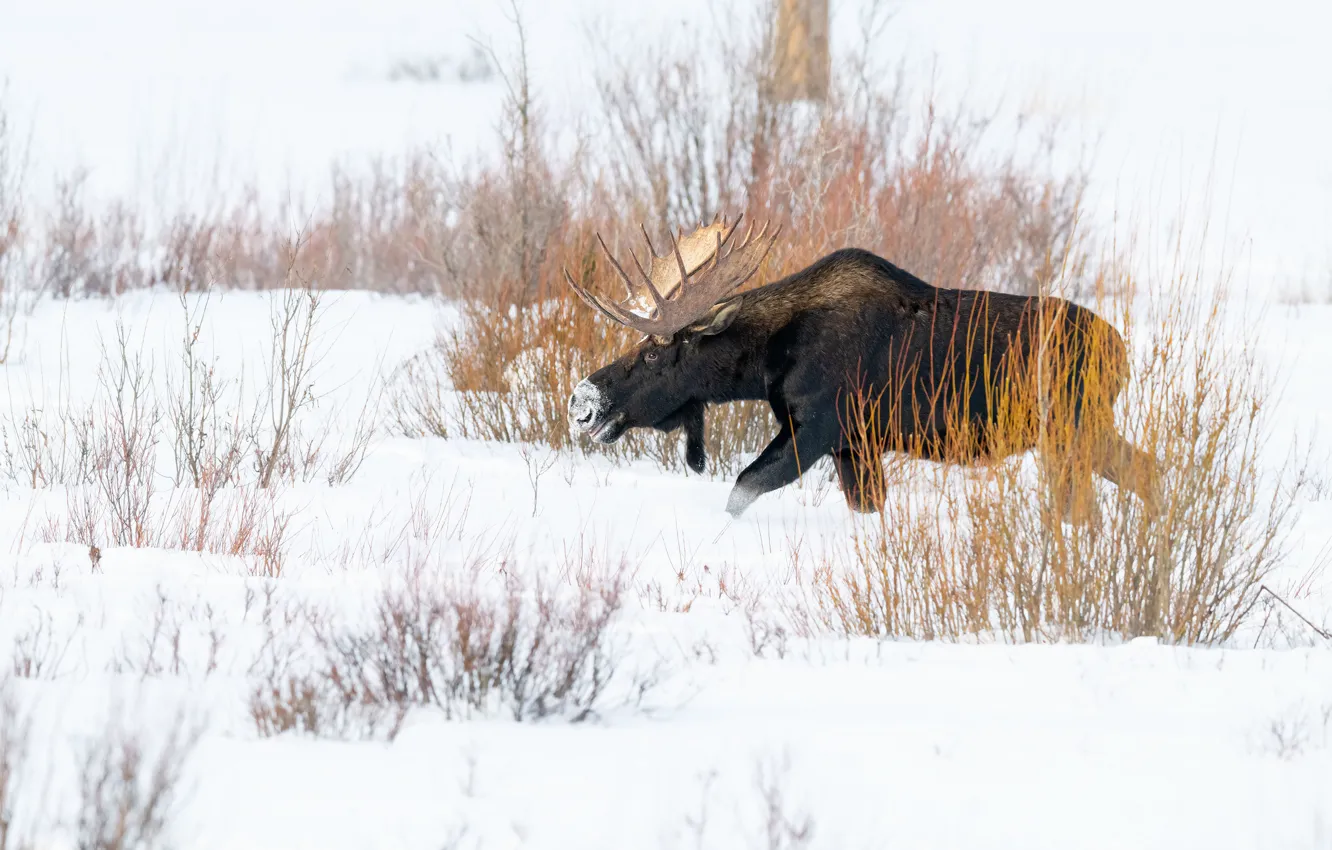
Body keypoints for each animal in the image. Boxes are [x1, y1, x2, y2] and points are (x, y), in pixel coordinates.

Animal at [565, 215, 1155, 519]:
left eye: (654, 354)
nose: (582, 402)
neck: (767, 362)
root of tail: (1123, 355)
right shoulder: (855, 446)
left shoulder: (818, 428)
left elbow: (742, 489)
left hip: (1074, 429)